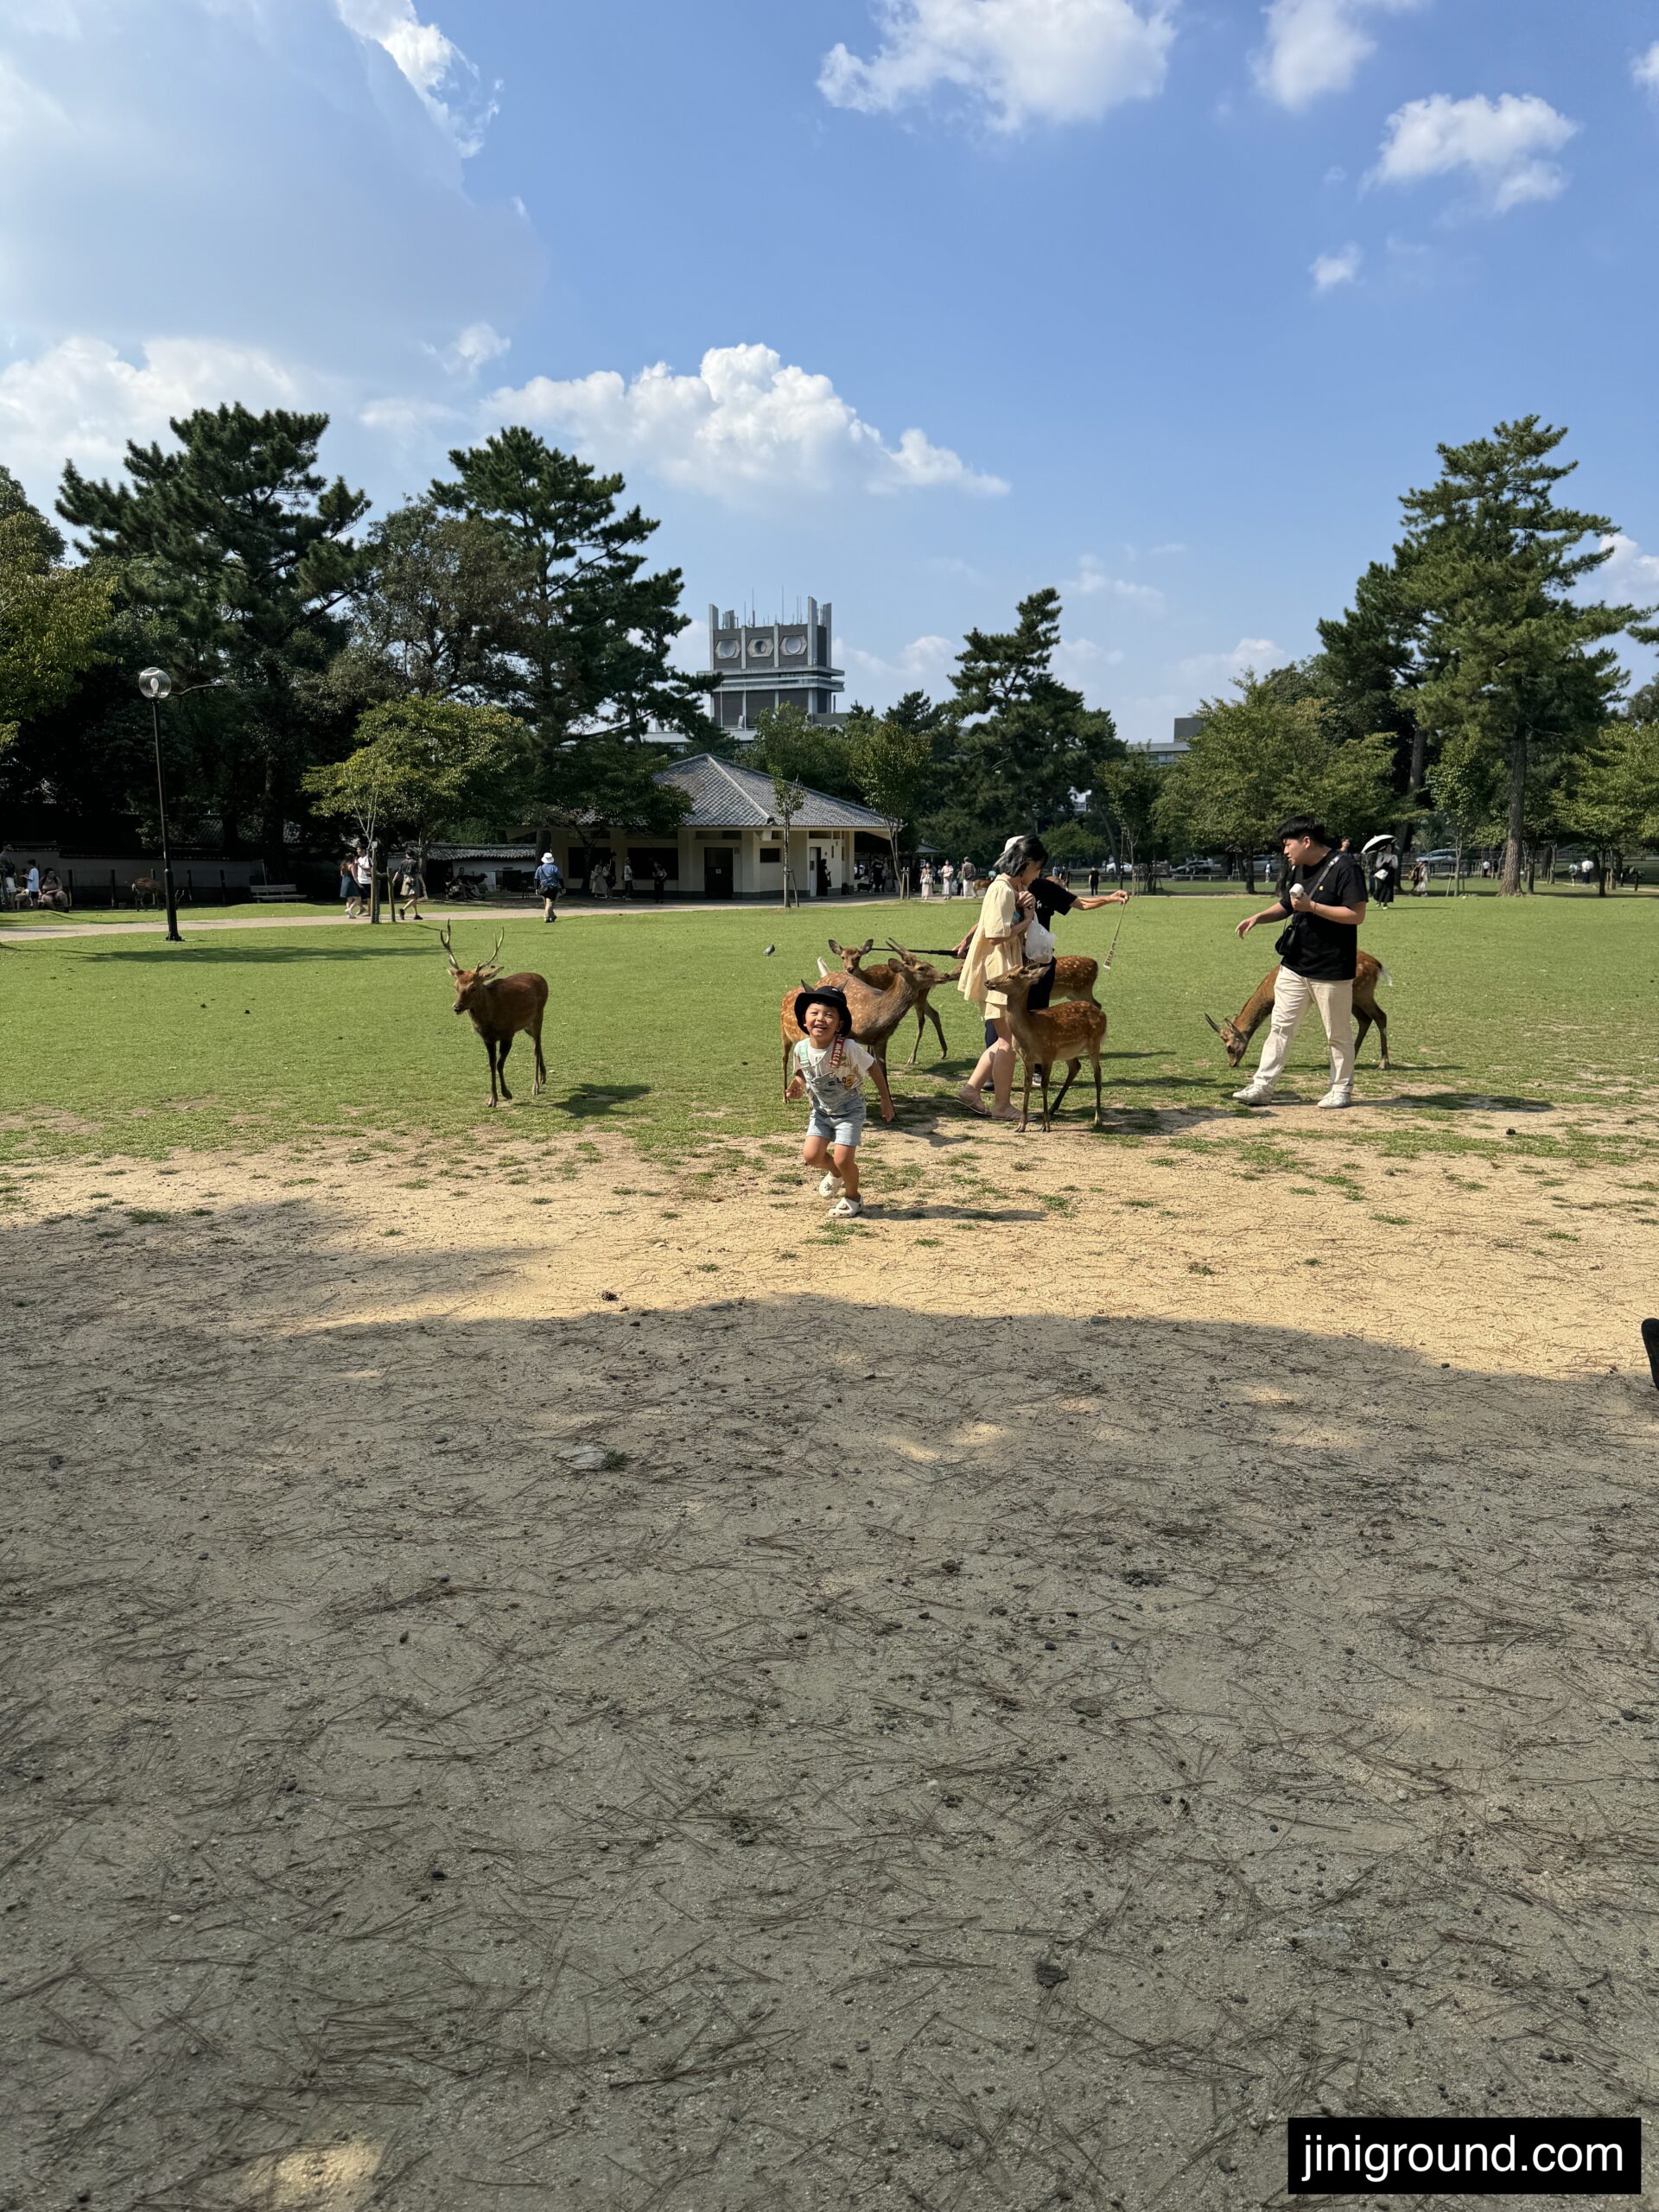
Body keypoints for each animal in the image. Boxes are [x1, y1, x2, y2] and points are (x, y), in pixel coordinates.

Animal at [441, 923, 549, 1107]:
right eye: (455, 986)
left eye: (473, 987)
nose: (456, 1007)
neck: (491, 1021)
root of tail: (542, 978)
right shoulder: (487, 1038)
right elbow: (491, 1064)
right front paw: (493, 1099)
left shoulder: (508, 1033)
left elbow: (499, 1064)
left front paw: (507, 1093)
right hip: (526, 1025)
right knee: (538, 1044)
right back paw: (543, 1077)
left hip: (538, 1016)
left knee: (536, 1047)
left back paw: (535, 1086)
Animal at [996, 960, 1107, 1132]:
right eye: (1005, 971)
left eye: (1011, 976)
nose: (988, 982)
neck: (1030, 1031)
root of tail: (1103, 1016)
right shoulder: (1026, 1058)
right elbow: (1026, 1086)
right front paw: (1021, 1125)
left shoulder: (1047, 1053)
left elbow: (1044, 1085)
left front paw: (1046, 1125)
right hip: (1068, 1052)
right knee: (1076, 1066)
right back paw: (1053, 1108)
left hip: (1094, 1043)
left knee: (1098, 1074)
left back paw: (1098, 1119)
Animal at [1206, 951, 1392, 1070]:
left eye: (1229, 1047)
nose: (1232, 1064)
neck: (1269, 991)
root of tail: (1377, 965)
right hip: (1353, 997)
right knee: (1365, 1019)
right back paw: (1353, 1058)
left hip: (1363, 992)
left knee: (1380, 1015)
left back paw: (1383, 1063)